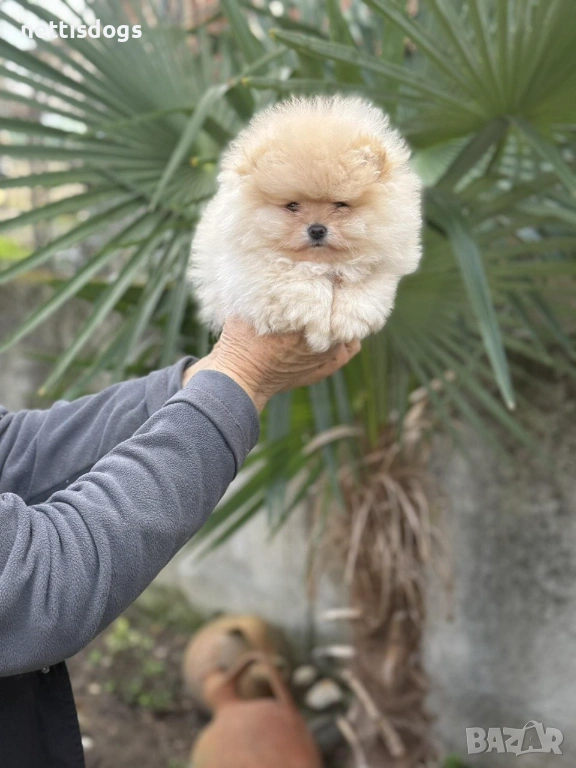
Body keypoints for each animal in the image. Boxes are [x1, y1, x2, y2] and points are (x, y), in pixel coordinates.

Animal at [189, 96, 422, 352]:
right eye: (292, 205)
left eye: (340, 204)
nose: (317, 229)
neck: (322, 263)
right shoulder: (254, 272)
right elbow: (300, 283)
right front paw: (318, 327)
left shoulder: (384, 263)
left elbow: (364, 287)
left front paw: (349, 322)